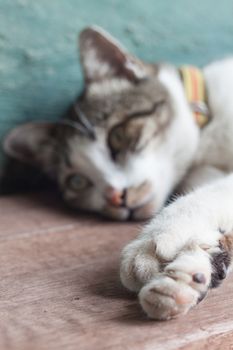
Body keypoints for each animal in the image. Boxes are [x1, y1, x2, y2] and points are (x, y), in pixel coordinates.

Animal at [3, 26, 233, 318]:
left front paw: (154, 240)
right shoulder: (202, 174)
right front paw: (192, 269)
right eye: (77, 181)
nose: (115, 196)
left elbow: (210, 193)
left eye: (117, 136)